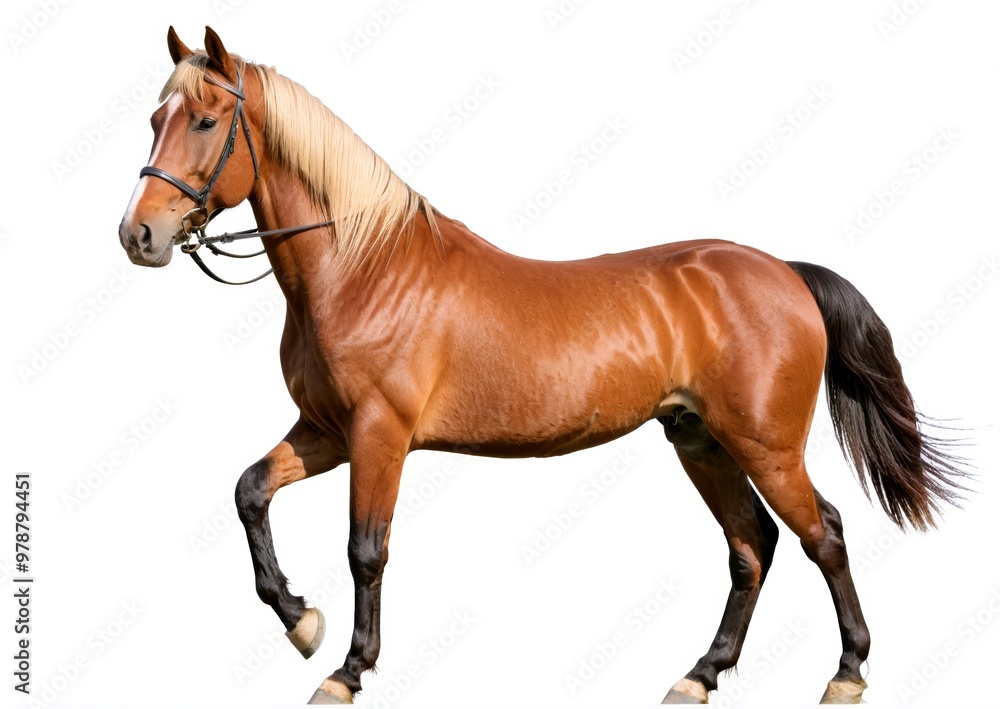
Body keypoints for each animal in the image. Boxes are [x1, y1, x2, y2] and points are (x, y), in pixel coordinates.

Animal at [118, 26, 967, 705]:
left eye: (206, 119)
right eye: (156, 119)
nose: (139, 235)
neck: (365, 268)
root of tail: (784, 272)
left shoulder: (379, 435)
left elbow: (366, 552)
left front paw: (347, 670)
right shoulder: (325, 429)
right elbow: (250, 491)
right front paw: (301, 620)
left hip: (766, 445)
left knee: (823, 533)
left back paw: (847, 672)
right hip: (700, 440)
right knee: (751, 545)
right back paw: (700, 673)